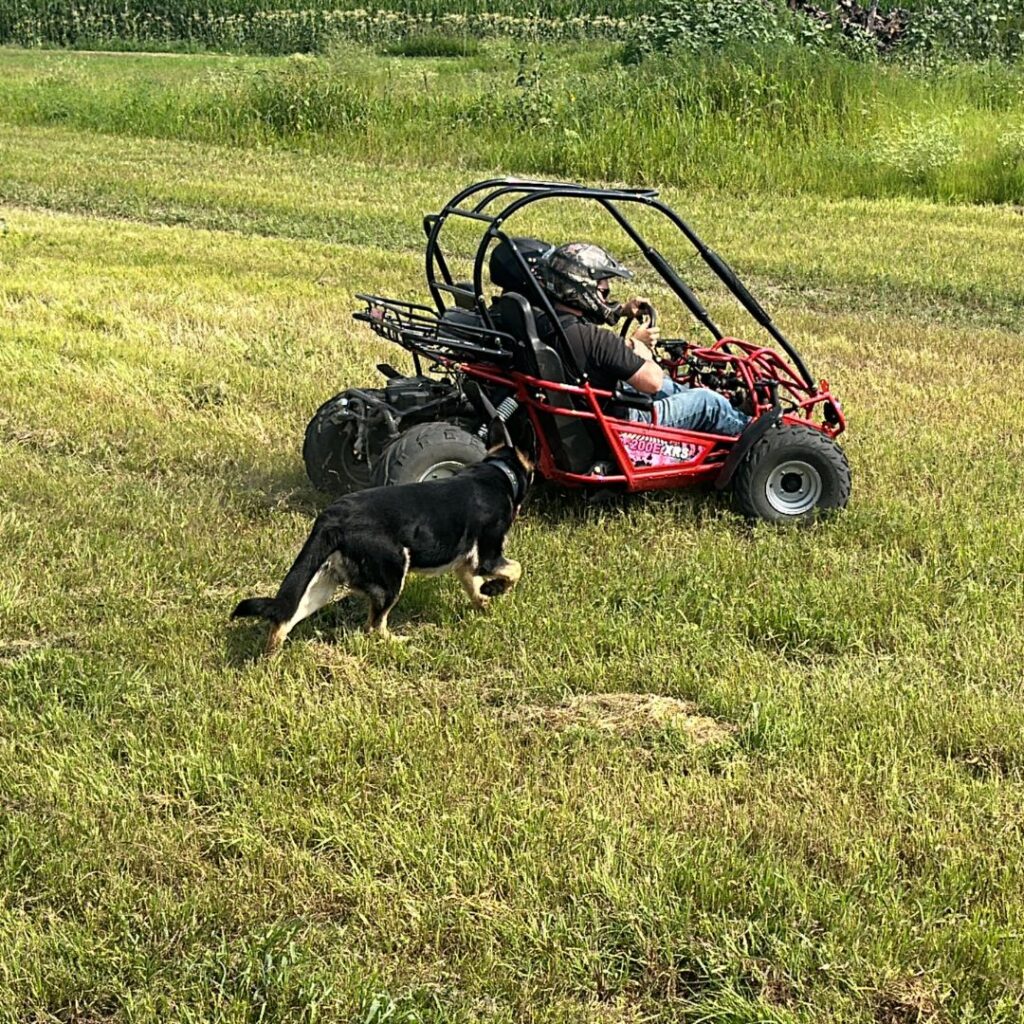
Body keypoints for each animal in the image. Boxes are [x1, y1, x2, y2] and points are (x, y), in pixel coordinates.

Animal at [233, 444, 536, 651]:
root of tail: (332, 518)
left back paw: (271, 656)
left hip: (321, 584)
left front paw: (485, 605)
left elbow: (474, 587)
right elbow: (516, 569)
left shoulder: (465, 564)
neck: (496, 473)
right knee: (374, 627)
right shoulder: (488, 557)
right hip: (391, 576)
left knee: (284, 618)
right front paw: (495, 590)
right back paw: (401, 642)